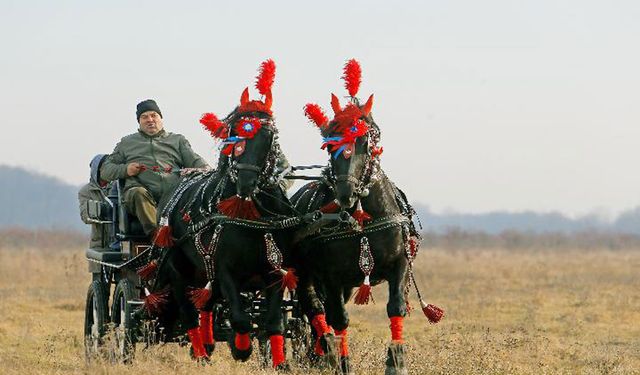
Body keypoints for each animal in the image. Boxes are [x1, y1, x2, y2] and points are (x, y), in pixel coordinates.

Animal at [138, 60, 302, 368]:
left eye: (269, 136)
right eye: (234, 133)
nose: (247, 182)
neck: (250, 216)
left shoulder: (276, 271)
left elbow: (274, 321)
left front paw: (278, 362)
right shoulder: (225, 270)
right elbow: (239, 318)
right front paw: (241, 349)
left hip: (202, 270)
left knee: (206, 303)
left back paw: (207, 343)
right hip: (179, 268)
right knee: (189, 310)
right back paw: (202, 352)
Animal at [292, 60, 442, 374]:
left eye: (367, 138)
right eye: (330, 145)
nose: (346, 193)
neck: (362, 222)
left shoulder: (400, 263)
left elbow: (396, 307)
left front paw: (396, 361)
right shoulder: (332, 275)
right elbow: (339, 319)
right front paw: (342, 361)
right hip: (305, 274)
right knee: (315, 309)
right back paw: (325, 349)